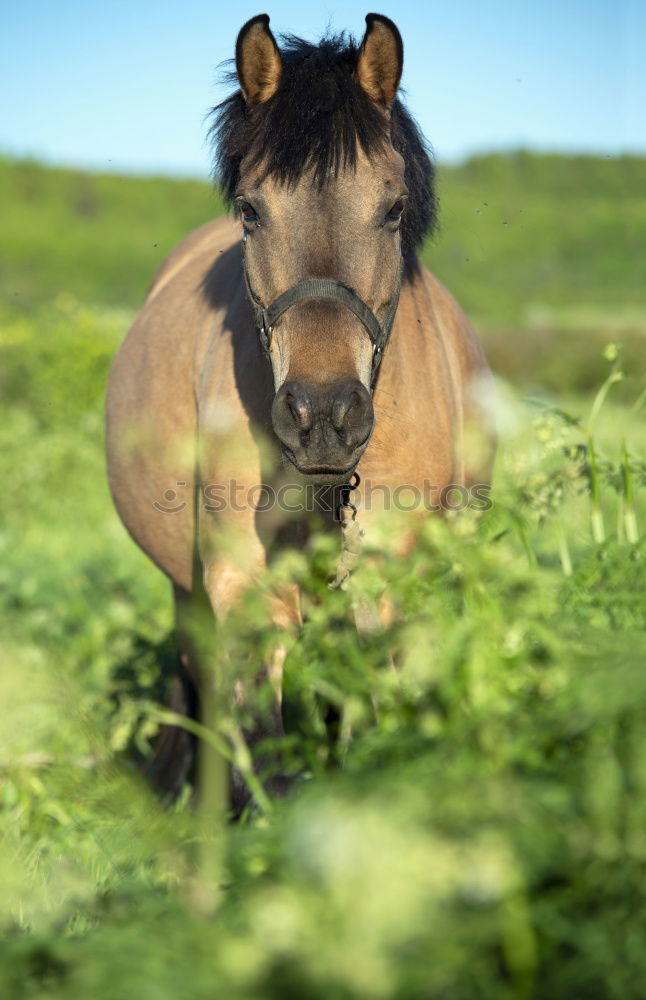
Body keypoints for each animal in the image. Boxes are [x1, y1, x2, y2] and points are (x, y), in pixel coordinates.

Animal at [106, 13, 496, 812]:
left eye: (393, 207)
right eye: (251, 210)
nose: (323, 417)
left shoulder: (389, 583)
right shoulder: (243, 584)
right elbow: (270, 757)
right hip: (187, 589)